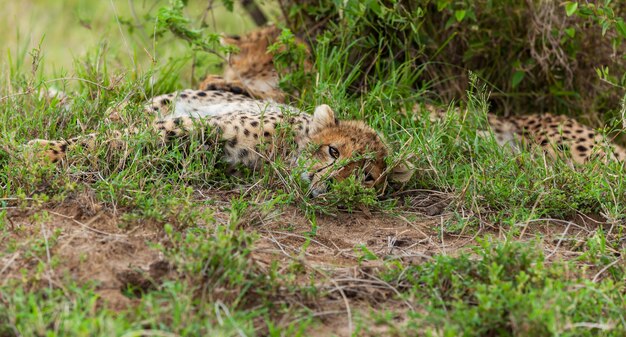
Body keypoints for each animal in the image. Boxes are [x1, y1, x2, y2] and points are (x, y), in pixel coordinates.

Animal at [28, 78, 410, 197]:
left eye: (366, 177)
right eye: (333, 151)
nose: (331, 184)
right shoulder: (205, 125)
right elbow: (115, 139)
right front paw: (45, 152)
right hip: (173, 101)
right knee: (118, 114)